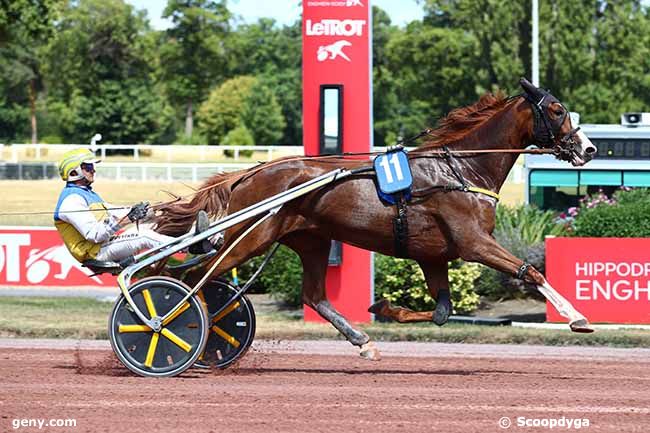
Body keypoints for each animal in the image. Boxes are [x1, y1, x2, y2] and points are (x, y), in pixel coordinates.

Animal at [152, 79, 592, 360]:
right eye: (557, 110)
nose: (588, 148)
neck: (461, 170)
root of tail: (250, 172)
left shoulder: (434, 255)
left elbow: (441, 312)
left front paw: (384, 308)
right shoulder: (474, 243)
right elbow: (530, 272)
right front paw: (578, 319)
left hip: (311, 240)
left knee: (314, 295)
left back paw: (362, 340)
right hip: (249, 237)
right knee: (195, 278)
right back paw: (173, 325)